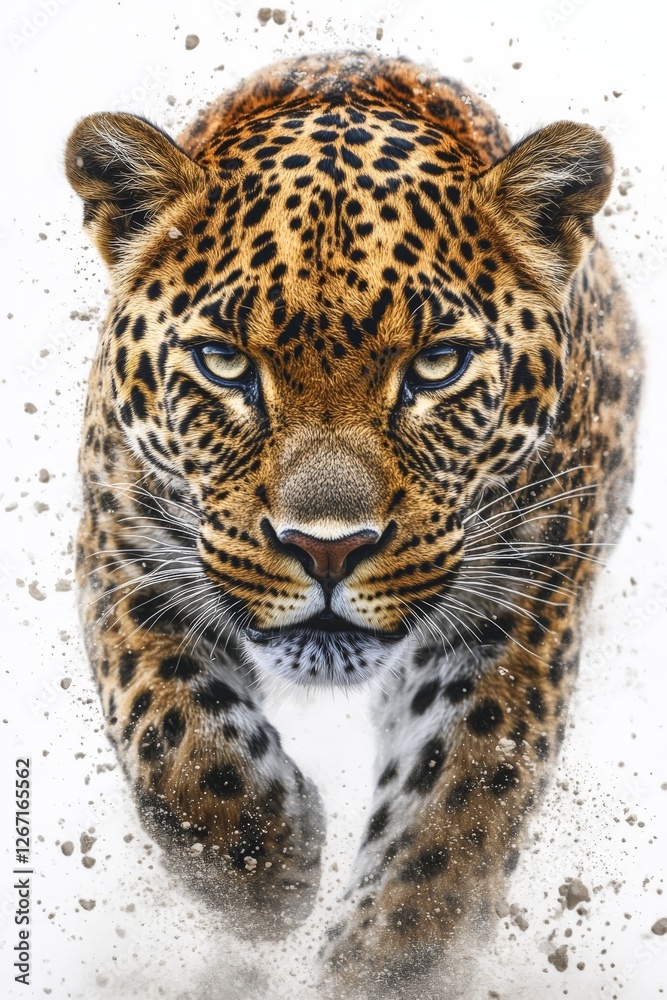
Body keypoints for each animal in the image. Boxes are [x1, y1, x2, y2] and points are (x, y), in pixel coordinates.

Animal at [65, 51, 642, 998]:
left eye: (436, 365)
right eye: (223, 362)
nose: (325, 548)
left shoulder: (519, 608)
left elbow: (460, 809)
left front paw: (392, 961)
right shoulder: (127, 555)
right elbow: (172, 735)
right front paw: (262, 867)